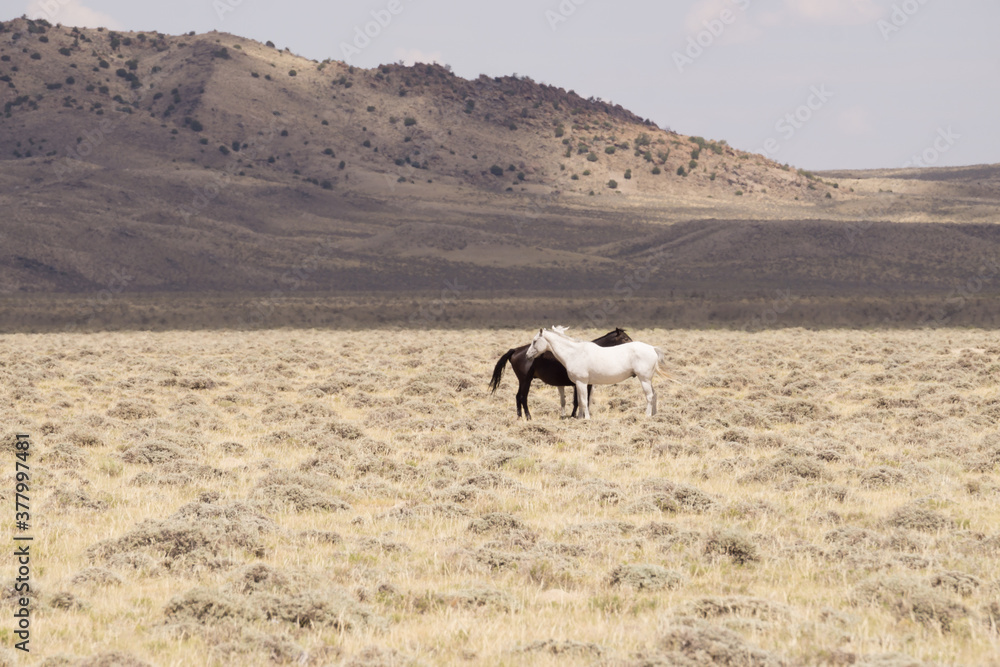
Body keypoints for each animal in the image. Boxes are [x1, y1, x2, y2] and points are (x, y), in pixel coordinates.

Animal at [489, 327, 633, 420]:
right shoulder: (584, 383)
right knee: (522, 397)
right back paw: (528, 417)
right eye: (625, 338)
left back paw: (520, 417)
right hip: (525, 380)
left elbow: (578, 401)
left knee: (518, 396)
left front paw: (575, 416)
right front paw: (578, 416)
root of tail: (515, 350)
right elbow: (580, 401)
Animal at [525, 327, 671, 419]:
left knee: (649, 396)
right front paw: (579, 417)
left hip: (644, 379)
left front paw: (586, 418)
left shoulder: (582, 382)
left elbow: (583, 401)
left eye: (535, 341)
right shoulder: (579, 384)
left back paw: (647, 415)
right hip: (648, 380)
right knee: (655, 394)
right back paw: (655, 415)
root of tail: (652, 348)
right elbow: (580, 401)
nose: (527, 355)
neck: (574, 353)